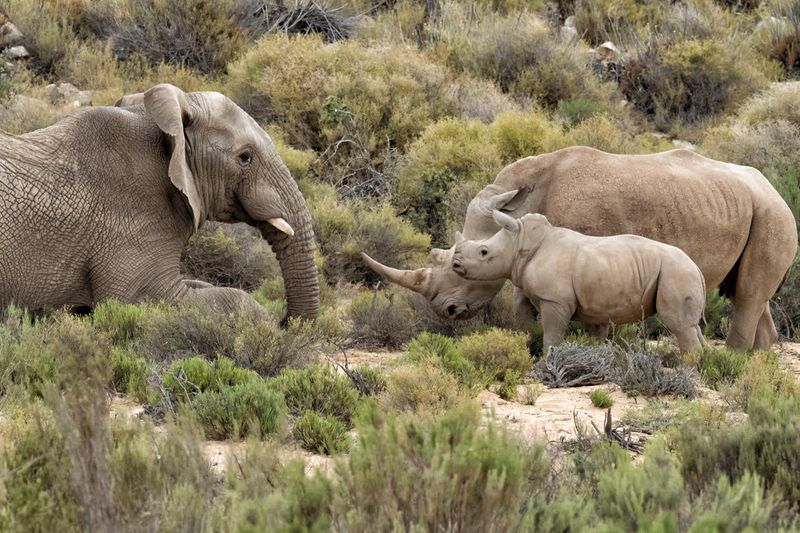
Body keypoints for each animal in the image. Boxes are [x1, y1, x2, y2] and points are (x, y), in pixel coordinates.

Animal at [452, 210, 708, 353]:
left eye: (484, 252)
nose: (455, 264)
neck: (521, 242)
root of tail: (697, 268)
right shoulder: (595, 306)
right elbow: (594, 337)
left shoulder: (554, 300)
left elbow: (552, 336)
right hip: (678, 271)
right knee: (692, 327)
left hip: (676, 272)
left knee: (679, 326)